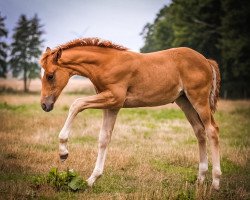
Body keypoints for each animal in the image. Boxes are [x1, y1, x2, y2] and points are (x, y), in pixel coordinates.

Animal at [40, 37, 222, 189]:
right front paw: (92, 179)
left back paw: (215, 182)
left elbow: (76, 104)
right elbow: (104, 138)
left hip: (199, 100)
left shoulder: (114, 98)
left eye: (50, 76)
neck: (107, 64)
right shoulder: (112, 106)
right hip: (185, 102)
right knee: (199, 131)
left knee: (212, 130)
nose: (44, 105)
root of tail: (206, 60)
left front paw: (63, 152)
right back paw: (200, 179)